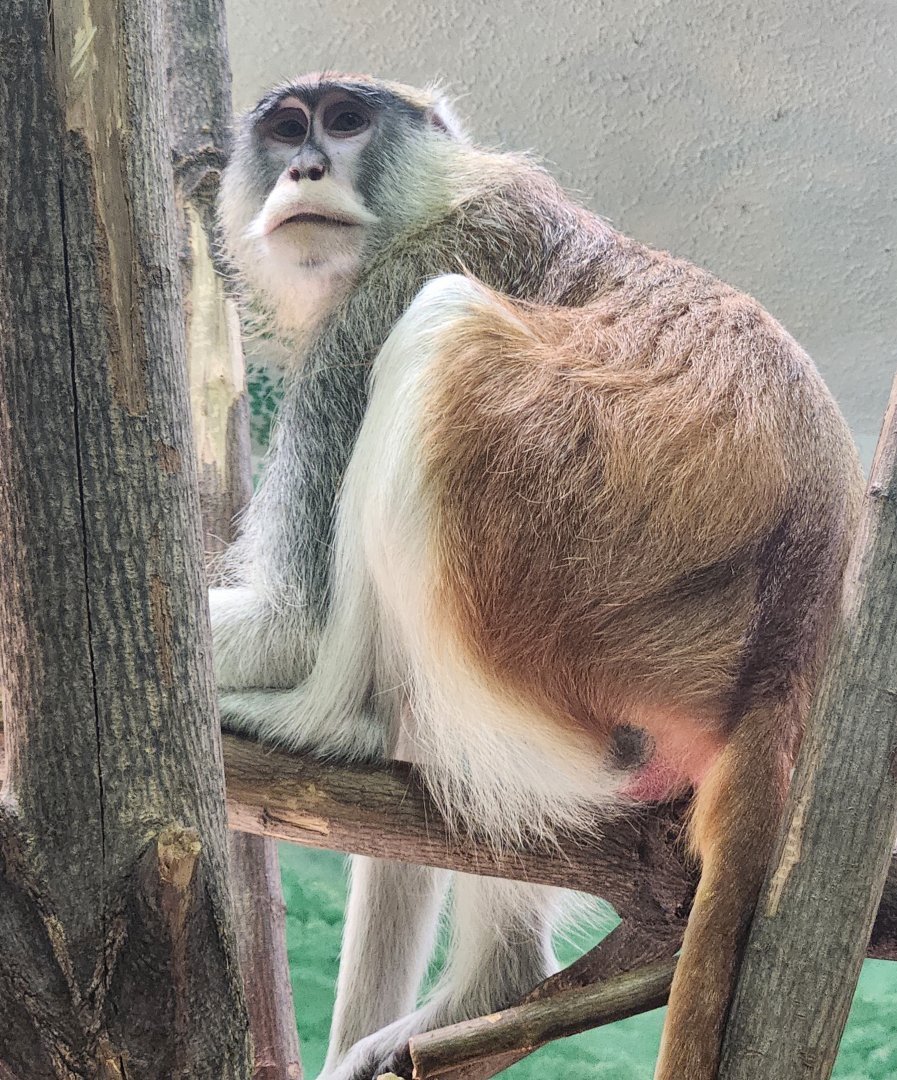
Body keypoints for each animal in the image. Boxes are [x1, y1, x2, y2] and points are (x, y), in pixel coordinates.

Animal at [212, 73, 863, 1080]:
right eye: (286, 129)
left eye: (345, 121)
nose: (306, 168)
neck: (440, 193)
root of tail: (787, 654)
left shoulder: (386, 293)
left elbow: (290, 623)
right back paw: (490, 986)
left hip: (551, 554)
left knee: (442, 328)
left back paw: (328, 727)